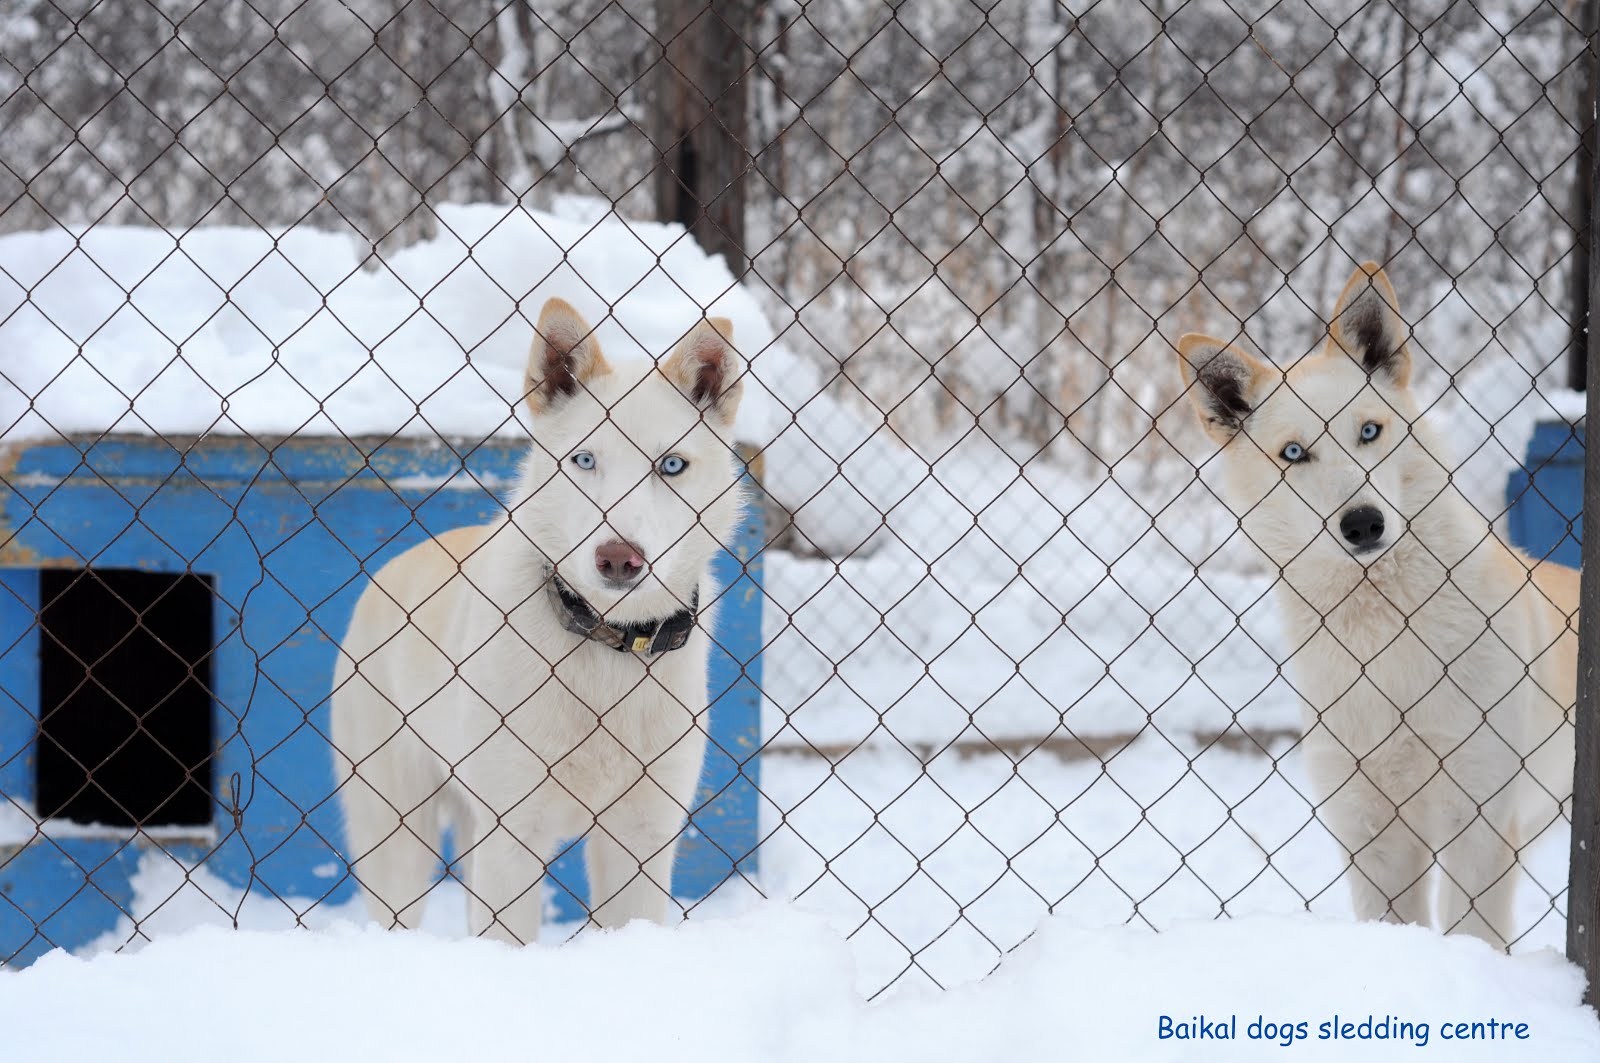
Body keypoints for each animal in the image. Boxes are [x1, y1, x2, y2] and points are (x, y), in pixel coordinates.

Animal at [329, 294, 748, 941]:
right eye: (585, 460)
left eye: (672, 465)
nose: (618, 558)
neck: (607, 646)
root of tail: (388, 571)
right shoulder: (512, 839)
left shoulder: (641, 842)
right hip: (398, 839)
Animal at [1177, 264, 1574, 947]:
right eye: (1294, 453)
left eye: (1369, 431)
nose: (1363, 524)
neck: (1385, 635)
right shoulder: (1371, 835)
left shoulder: (1478, 825)